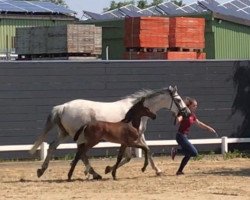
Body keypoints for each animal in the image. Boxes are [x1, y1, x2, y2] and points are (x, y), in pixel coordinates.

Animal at [29, 85, 189, 177]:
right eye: (178, 100)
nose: (186, 113)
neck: (134, 112)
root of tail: (62, 107)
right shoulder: (133, 137)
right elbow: (139, 153)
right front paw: (109, 170)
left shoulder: (137, 136)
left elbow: (137, 154)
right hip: (80, 137)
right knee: (81, 153)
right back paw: (93, 173)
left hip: (65, 133)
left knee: (53, 146)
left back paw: (41, 170)